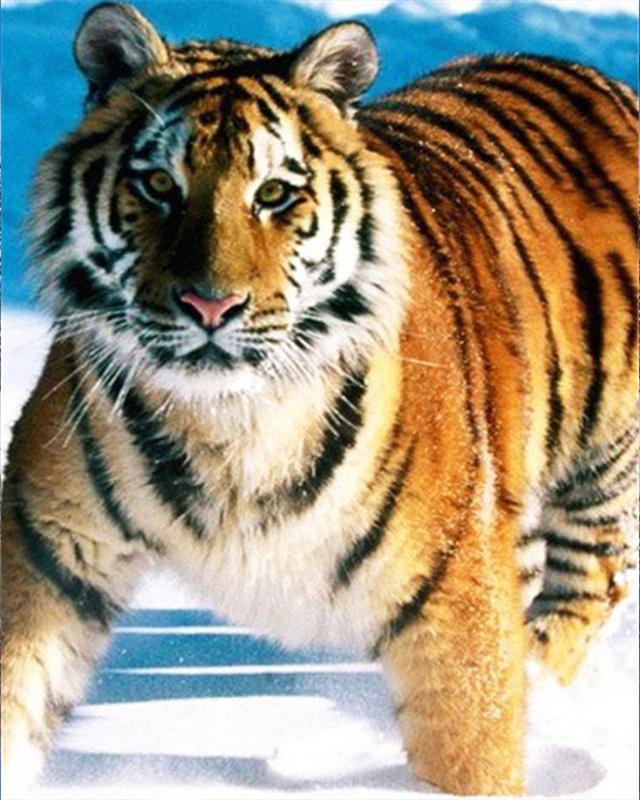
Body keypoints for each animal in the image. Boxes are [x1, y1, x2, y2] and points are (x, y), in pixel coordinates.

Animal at [1, 2, 637, 796]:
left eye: (274, 192)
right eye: (157, 185)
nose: (209, 306)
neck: (228, 422)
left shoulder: (453, 592)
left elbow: (473, 741)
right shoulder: (47, 544)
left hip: (603, 467)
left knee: (589, 584)